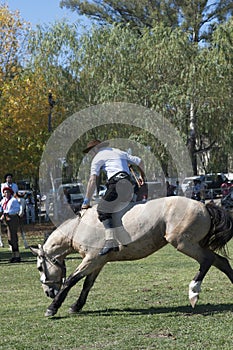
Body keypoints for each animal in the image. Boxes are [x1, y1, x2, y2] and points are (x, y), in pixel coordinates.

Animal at [29, 197, 233, 318]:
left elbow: (71, 280)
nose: (48, 292)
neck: (78, 227)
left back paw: (193, 291)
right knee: (221, 262)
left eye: (39, 267)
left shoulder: (91, 260)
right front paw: (76, 306)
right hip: (194, 244)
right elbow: (87, 284)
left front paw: (53, 308)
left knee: (207, 261)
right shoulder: (98, 261)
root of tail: (204, 205)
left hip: (183, 243)